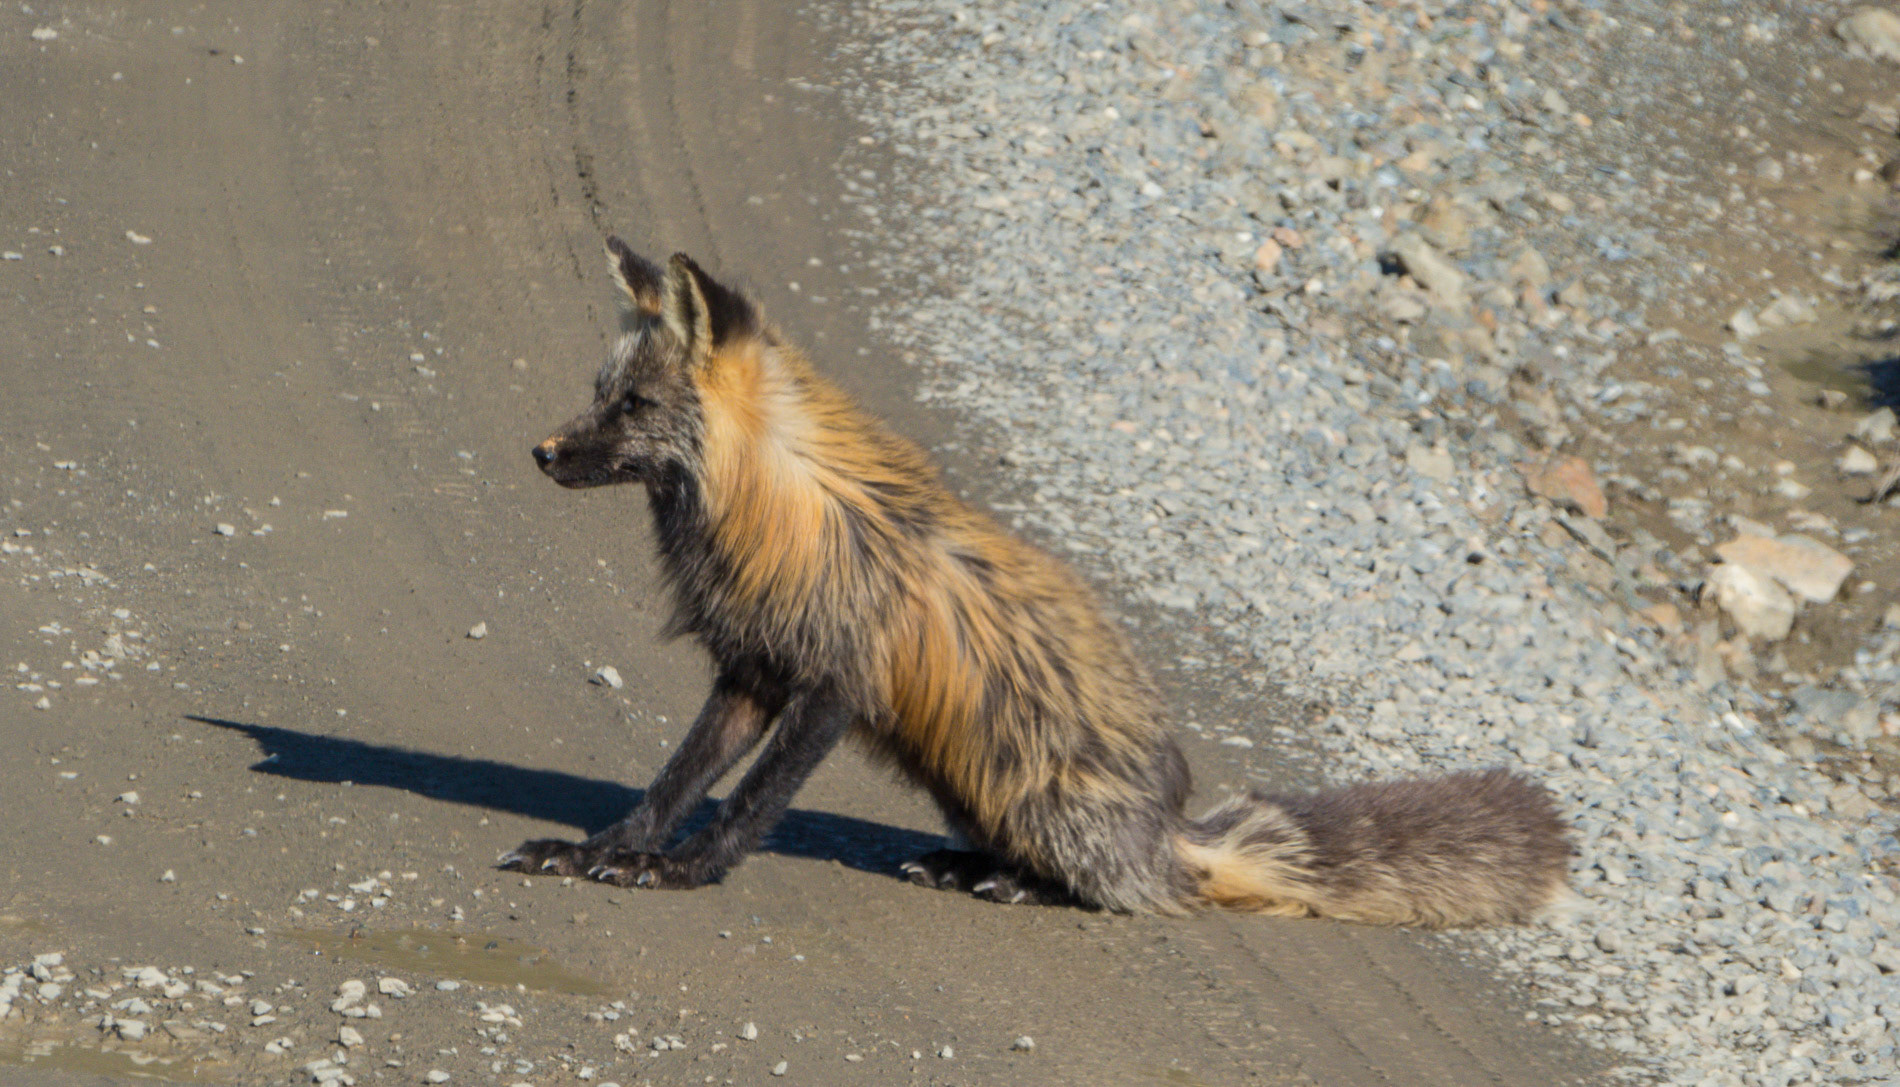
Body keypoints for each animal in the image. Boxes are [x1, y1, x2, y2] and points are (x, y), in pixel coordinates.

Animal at [500, 236, 1573, 925]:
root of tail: (1173, 825)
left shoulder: (835, 686)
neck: (778, 514)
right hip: (971, 779)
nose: (542, 452)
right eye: (602, 394)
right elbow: (671, 782)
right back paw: (957, 864)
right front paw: (597, 849)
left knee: (1139, 897)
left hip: (1036, 797)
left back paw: (1023, 885)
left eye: (633, 407)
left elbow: (745, 806)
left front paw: (682, 872)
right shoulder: (752, 671)